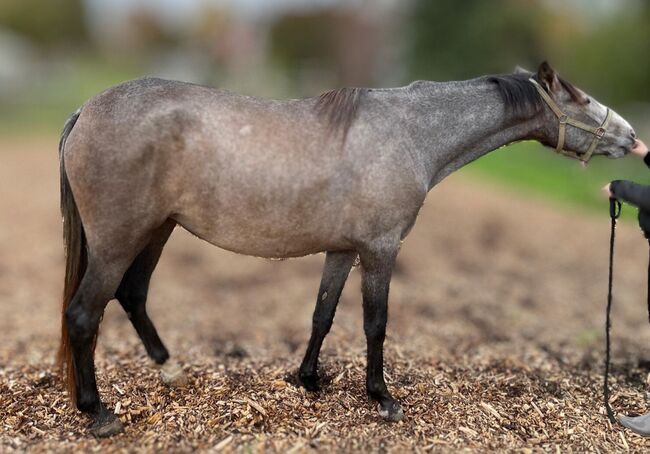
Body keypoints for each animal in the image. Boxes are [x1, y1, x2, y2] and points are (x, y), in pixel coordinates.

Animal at [57, 62, 636, 434]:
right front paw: (382, 398)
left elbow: (323, 314)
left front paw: (308, 379)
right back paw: (98, 414)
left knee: (132, 296)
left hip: (157, 230)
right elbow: (374, 323)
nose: (632, 137)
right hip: (119, 240)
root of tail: (85, 110)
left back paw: (169, 371)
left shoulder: (342, 250)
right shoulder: (380, 249)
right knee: (85, 314)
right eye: (578, 96)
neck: (409, 132)